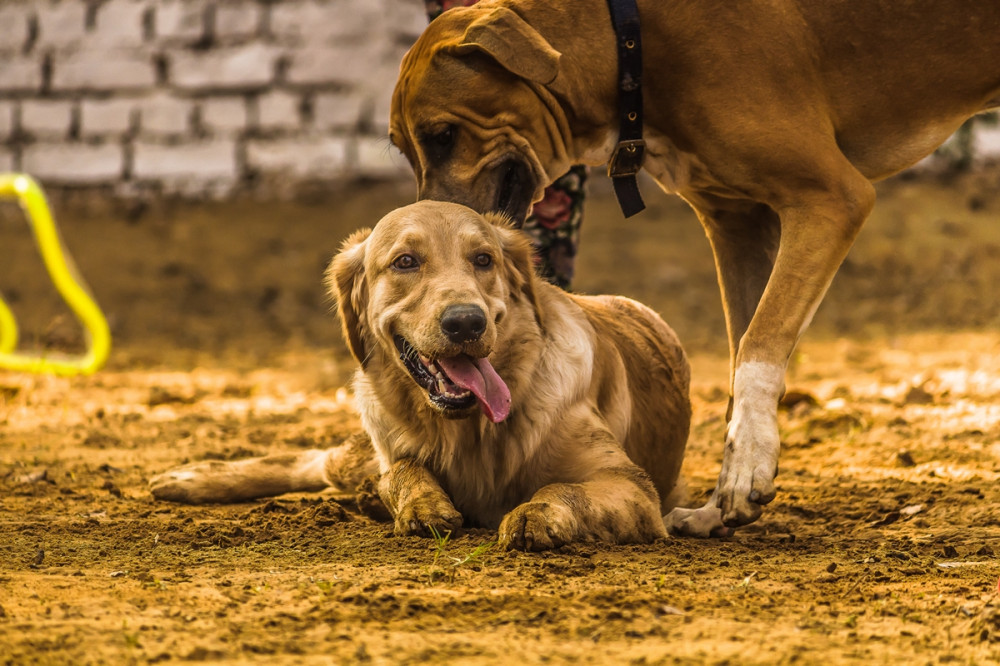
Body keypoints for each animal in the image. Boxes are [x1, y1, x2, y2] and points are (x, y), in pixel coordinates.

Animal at [150, 202, 696, 548]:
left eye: (484, 259)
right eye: (406, 262)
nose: (466, 322)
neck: (471, 430)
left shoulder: (633, 487)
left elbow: (563, 489)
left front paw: (536, 514)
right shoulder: (394, 450)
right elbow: (401, 472)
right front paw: (422, 505)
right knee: (322, 460)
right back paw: (191, 476)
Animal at [386, 1, 1000, 536]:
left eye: (444, 135)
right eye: (403, 148)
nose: (424, 221)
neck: (631, 46)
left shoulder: (830, 199)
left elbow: (758, 347)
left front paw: (746, 464)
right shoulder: (738, 224)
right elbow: (740, 353)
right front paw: (722, 498)